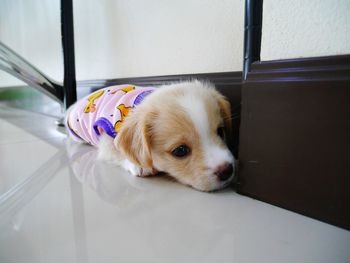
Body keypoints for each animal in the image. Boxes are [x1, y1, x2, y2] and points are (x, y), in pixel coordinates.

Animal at [65, 80, 235, 192]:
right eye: (180, 151)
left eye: (220, 131)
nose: (227, 170)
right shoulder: (106, 138)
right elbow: (117, 151)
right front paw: (139, 165)